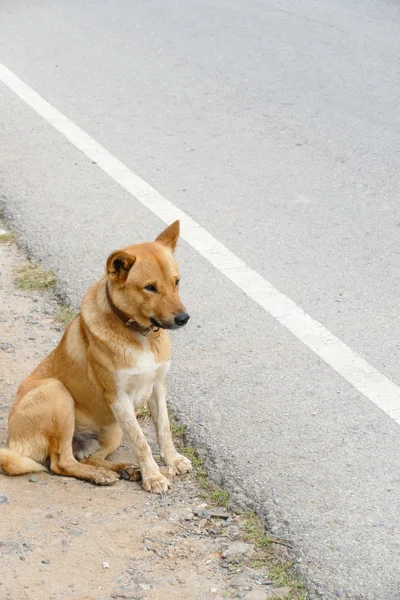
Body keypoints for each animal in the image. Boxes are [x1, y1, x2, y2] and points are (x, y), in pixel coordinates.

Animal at [0, 220, 192, 492]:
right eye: (150, 287)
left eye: (176, 282)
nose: (184, 318)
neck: (139, 334)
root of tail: (11, 443)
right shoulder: (119, 398)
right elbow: (141, 442)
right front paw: (153, 476)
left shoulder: (157, 387)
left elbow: (163, 429)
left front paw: (172, 460)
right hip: (57, 393)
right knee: (61, 463)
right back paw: (100, 475)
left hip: (113, 430)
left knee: (90, 458)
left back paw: (124, 470)